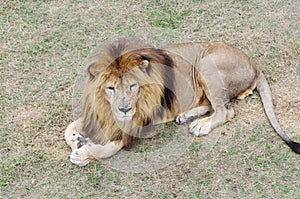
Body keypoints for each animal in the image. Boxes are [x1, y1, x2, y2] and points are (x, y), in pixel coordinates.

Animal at [64, 37, 298, 166]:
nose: (124, 109)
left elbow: (111, 148)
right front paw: (78, 139)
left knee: (226, 111)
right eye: (110, 88)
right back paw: (187, 116)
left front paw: (83, 153)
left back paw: (200, 126)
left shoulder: (140, 123)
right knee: (212, 105)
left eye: (133, 86)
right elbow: (69, 128)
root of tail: (254, 64)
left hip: (206, 63)